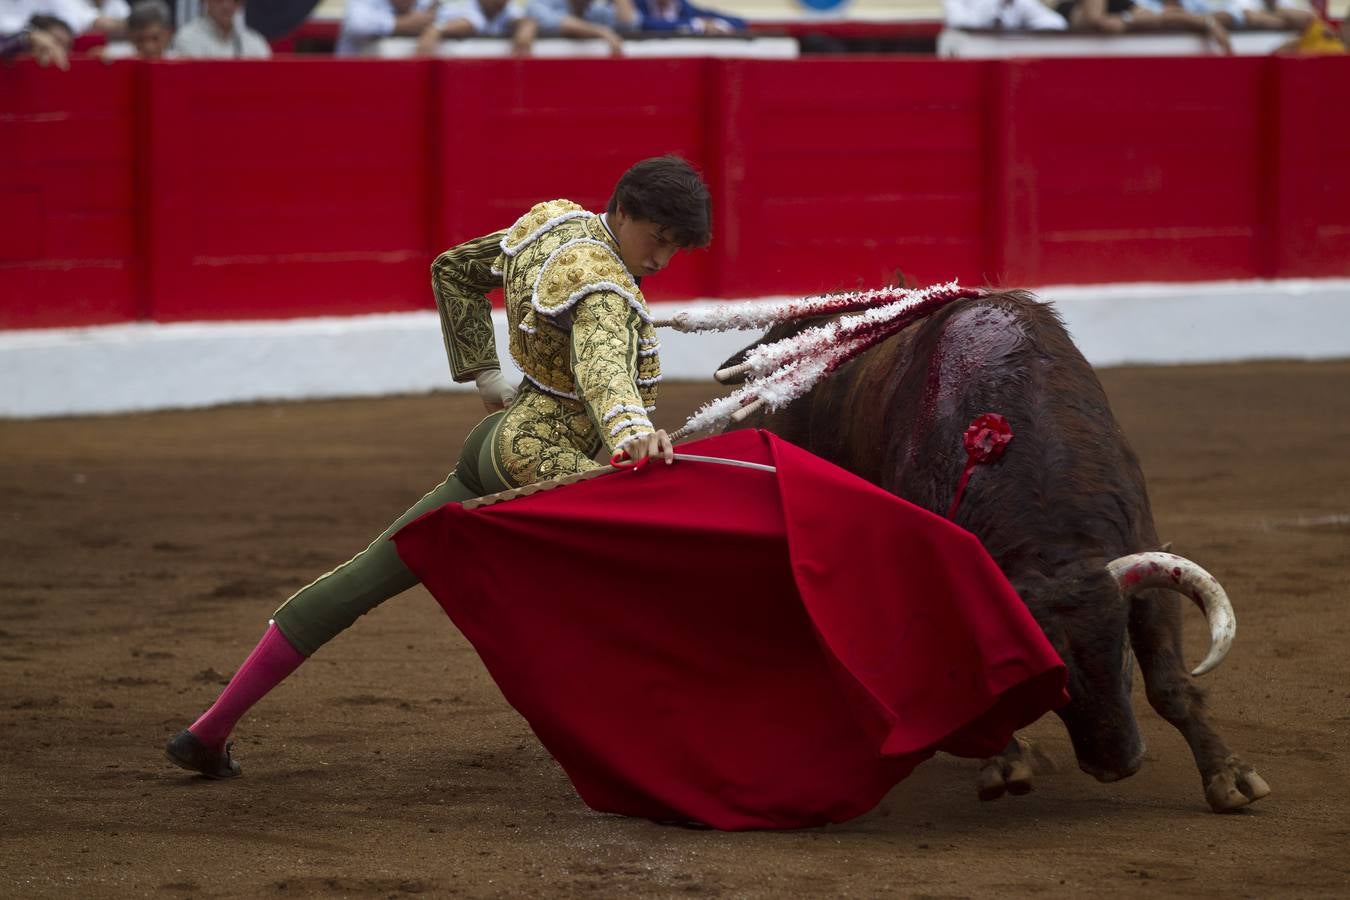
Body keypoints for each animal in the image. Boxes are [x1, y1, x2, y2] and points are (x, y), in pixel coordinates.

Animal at [723, 290, 1269, 814]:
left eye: (1123, 654)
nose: (1116, 765)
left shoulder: (1144, 556)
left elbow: (1171, 684)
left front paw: (1230, 779)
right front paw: (1006, 766)